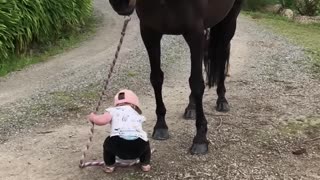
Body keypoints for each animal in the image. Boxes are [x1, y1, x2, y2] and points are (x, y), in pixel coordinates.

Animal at [110, 0, 242, 155]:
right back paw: (191, 107)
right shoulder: (150, 32)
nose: (120, 4)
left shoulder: (195, 32)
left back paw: (222, 100)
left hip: (229, 21)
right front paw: (161, 126)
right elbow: (156, 78)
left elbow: (197, 83)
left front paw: (200, 138)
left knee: (222, 53)